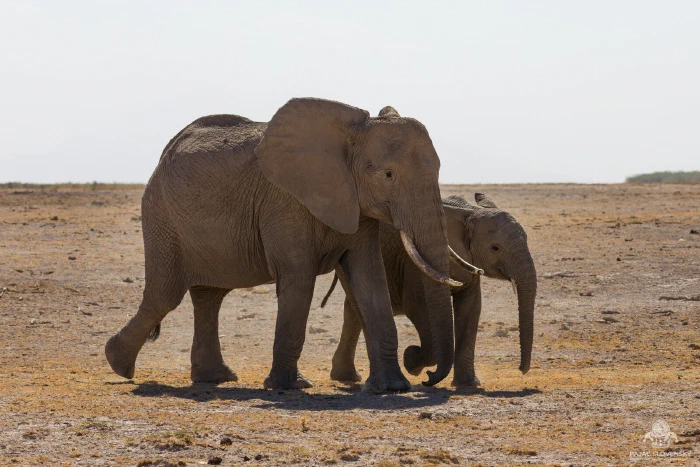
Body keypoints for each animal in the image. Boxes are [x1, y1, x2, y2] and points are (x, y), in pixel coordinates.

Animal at [104, 98, 478, 392]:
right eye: (387, 175)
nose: (425, 375)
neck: (352, 133)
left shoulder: (355, 205)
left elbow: (370, 279)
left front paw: (392, 388)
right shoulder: (284, 200)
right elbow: (298, 277)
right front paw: (289, 386)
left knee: (210, 297)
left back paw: (214, 378)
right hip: (161, 215)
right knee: (165, 295)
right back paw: (118, 364)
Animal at [323, 193, 536, 387]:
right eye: (495, 248)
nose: (520, 369)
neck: (469, 212)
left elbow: (471, 308)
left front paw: (468, 385)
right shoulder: (414, 262)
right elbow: (417, 305)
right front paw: (411, 362)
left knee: (353, 312)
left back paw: (347, 377)